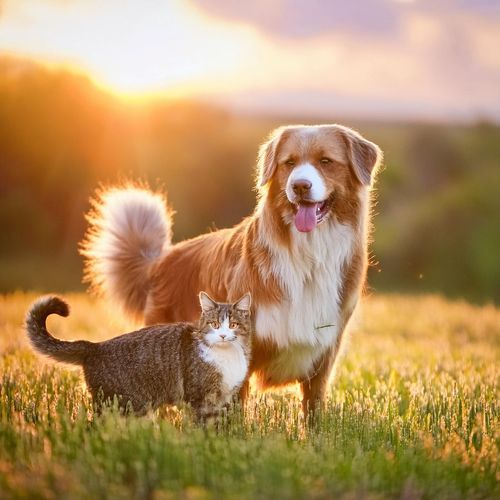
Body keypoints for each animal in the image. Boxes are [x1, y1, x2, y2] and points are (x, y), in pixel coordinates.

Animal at [25, 292, 252, 420]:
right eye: (214, 324)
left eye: (233, 324)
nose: (223, 335)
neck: (227, 357)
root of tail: (95, 347)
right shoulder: (198, 398)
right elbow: (201, 427)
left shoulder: (224, 399)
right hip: (116, 406)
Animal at [81, 123, 382, 412]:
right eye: (289, 163)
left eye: (325, 161)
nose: (299, 186)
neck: (309, 254)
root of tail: (162, 259)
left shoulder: (323, 356)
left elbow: (314, 414)